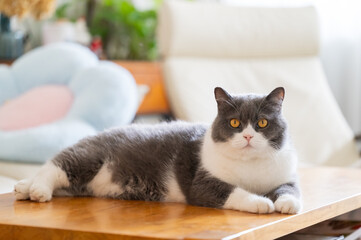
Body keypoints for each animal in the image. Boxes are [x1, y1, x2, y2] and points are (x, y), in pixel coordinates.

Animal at [14, 86, 300, 214]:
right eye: (234, 123)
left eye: (262, 123)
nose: (249, 136)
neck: (250, 166)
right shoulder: (203, 184)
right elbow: (233, 192)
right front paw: (262, 202)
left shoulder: (286, 176)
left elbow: (290, 190)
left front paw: (286, 203)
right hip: (89, 157)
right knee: (56, 166)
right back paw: (38, 191)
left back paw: (23, 188)